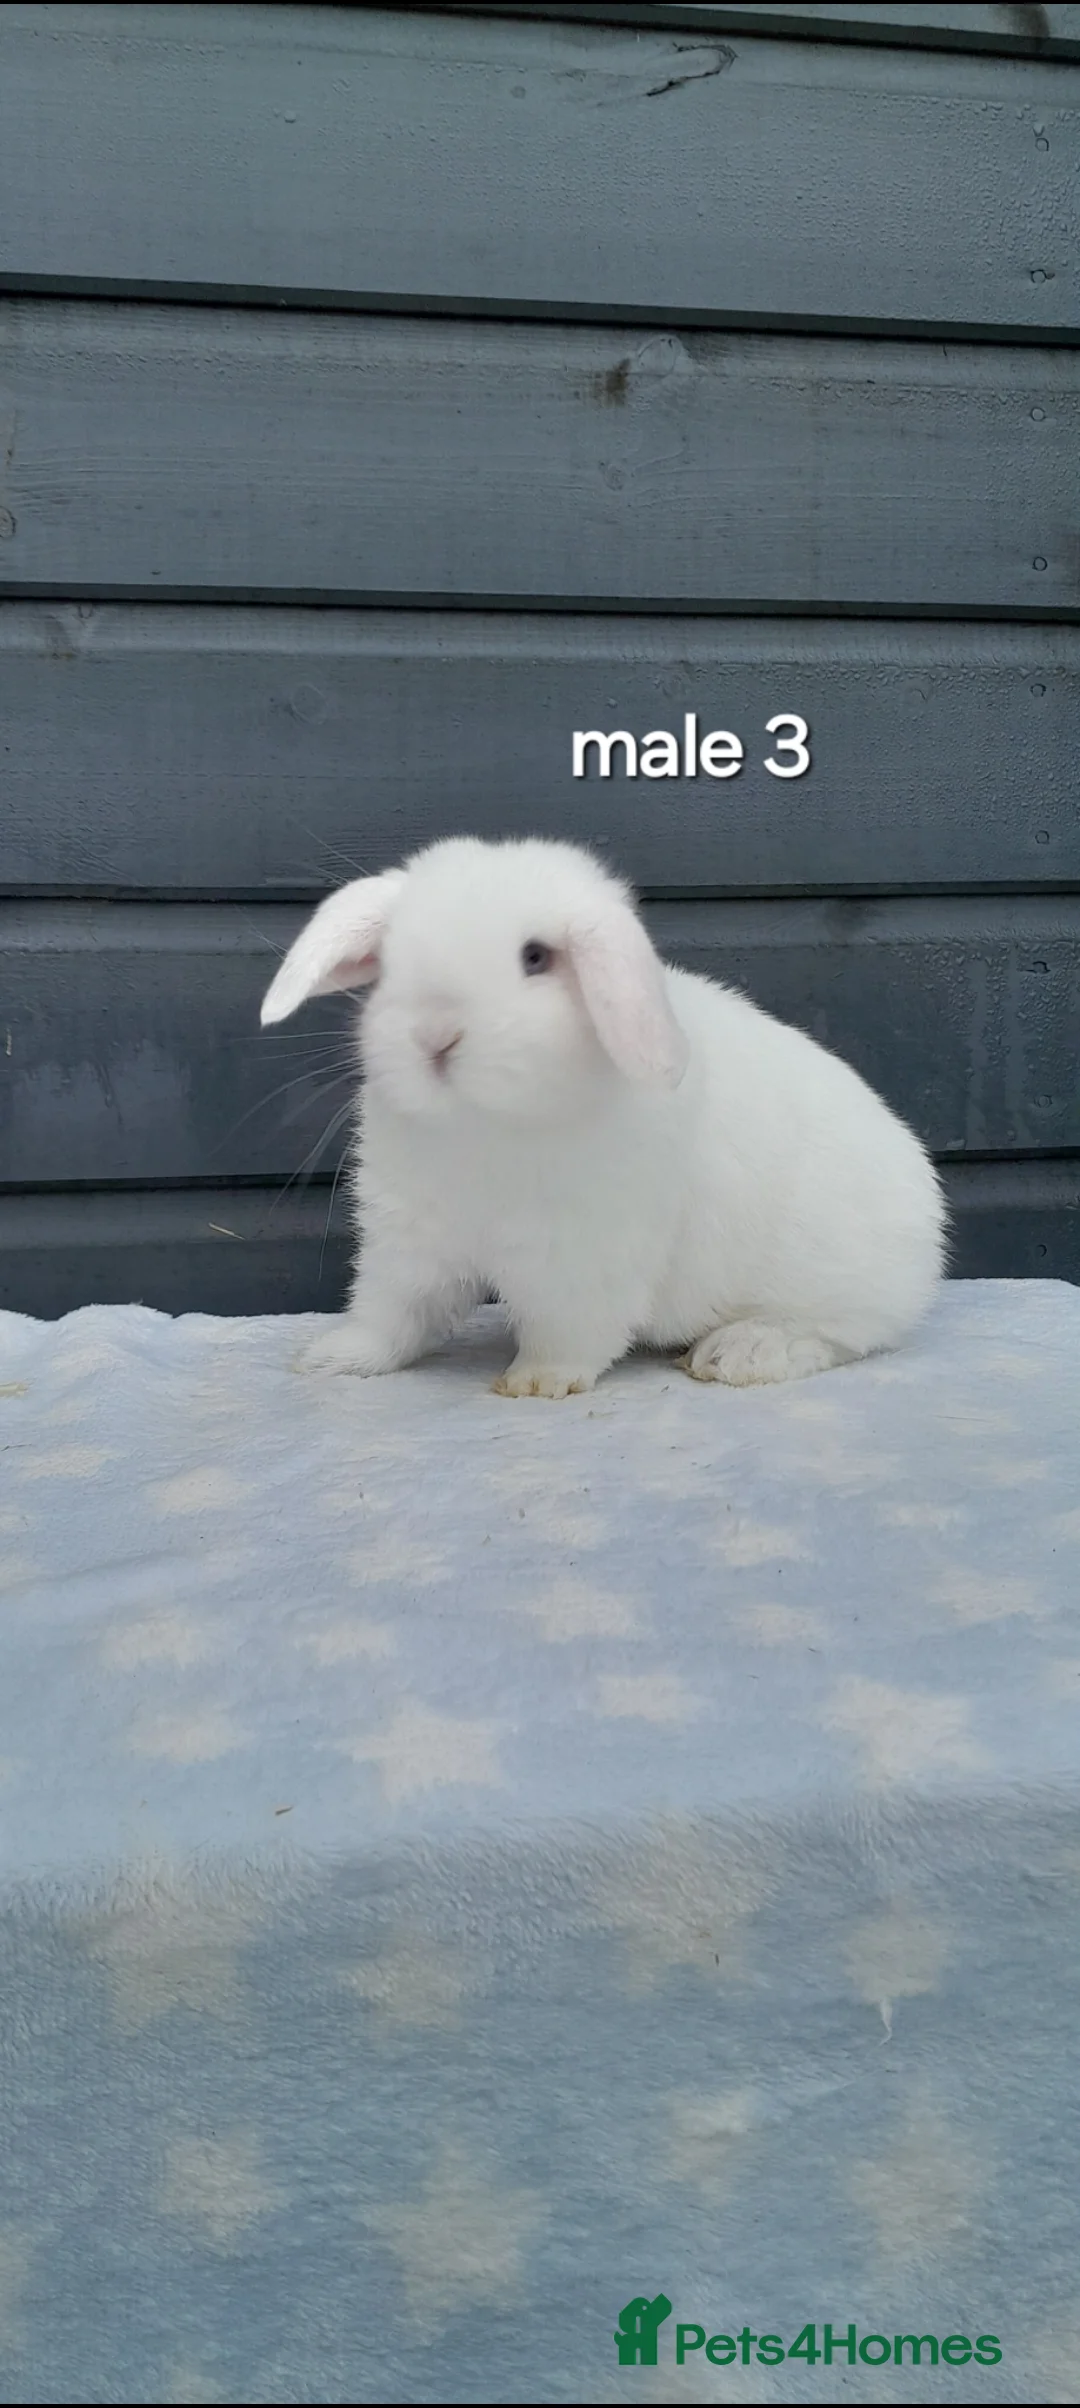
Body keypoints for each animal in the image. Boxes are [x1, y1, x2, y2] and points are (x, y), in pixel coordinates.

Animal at [260, 835, 945, 1397]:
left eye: (535, 957)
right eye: (392, 959)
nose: (434, 1035)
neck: (485, 1123)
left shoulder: (585, 1256)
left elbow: (570, 1330)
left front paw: (537, 1381)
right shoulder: (407, 1241)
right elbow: (391, 1312)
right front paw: (333, 1359)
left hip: (839, 1281)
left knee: (842, 1334)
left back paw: (742, 1351)